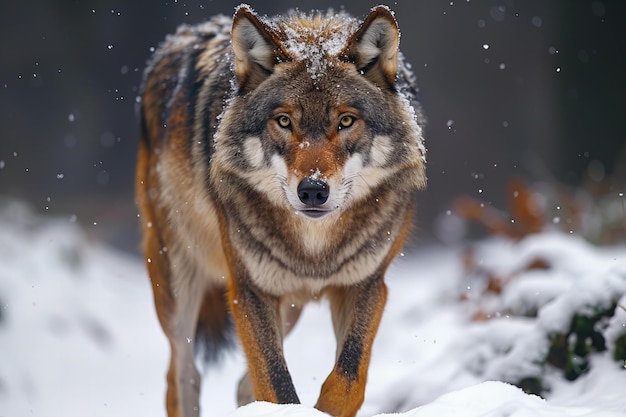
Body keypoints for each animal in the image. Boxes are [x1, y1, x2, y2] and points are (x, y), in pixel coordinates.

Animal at [136, 4, 426, 416]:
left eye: (346, 121)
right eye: (285, 121)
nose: (313, 191)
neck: (315, 249)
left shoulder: (366, 285)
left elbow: (348, 379)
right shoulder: (249, 291)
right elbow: (277, 385)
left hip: (289, 306)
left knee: (242, 384)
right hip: (177, 283)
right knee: (183, 377)